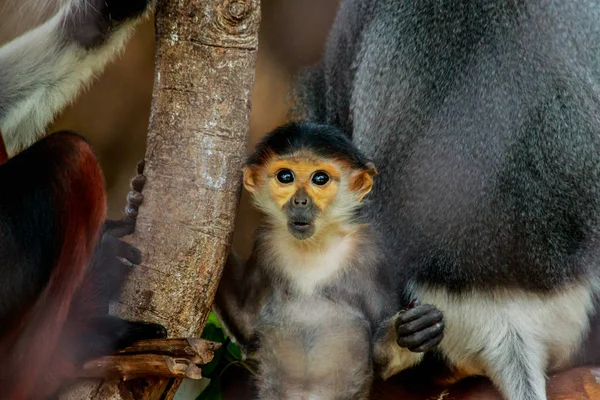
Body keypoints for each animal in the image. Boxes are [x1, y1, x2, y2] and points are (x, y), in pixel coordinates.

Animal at [213, 123, 442, 398]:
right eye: (285, 177)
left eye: (319, 179)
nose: (300, 201)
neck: (314, 246)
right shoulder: (266, 244)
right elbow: (247, 325)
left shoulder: (370, 251)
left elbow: (379, 358)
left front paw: (419, 328)